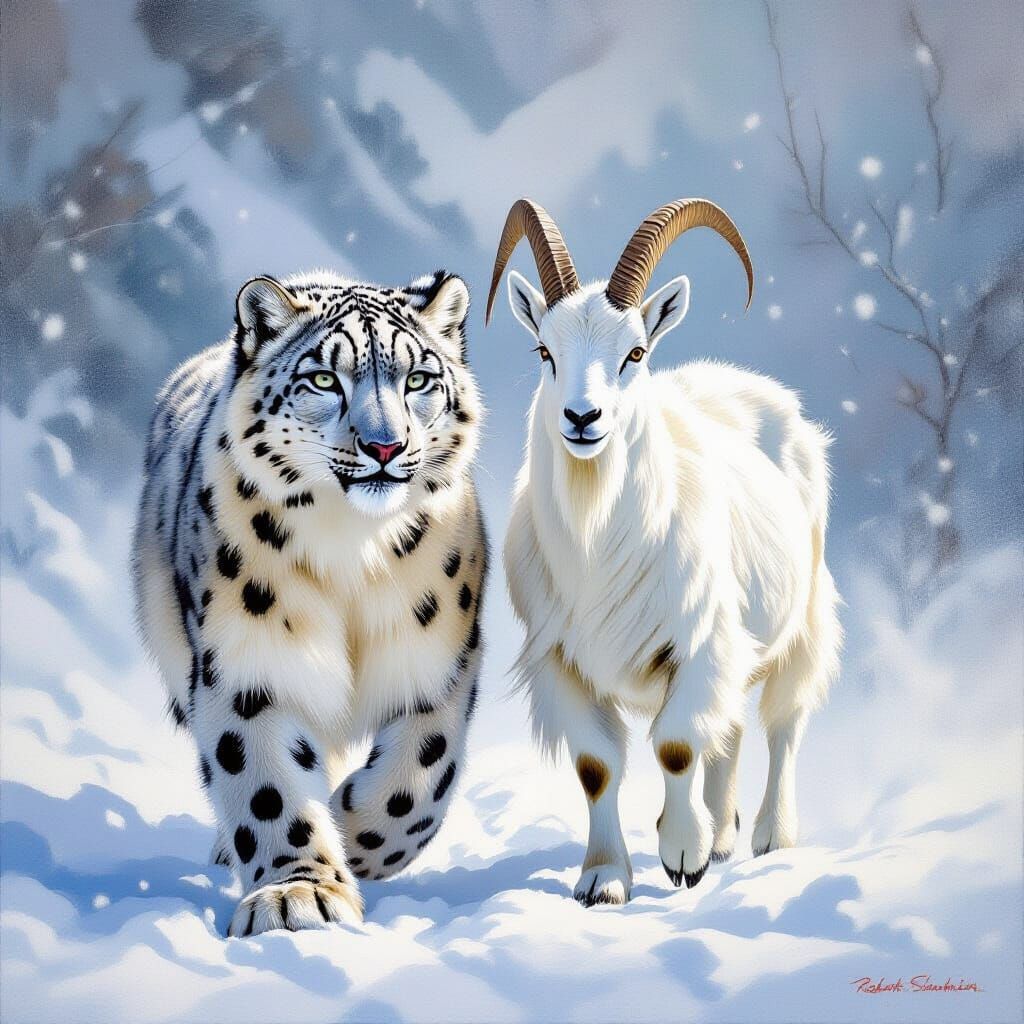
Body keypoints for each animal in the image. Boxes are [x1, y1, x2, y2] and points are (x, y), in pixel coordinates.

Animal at [487, 198, 842, 905]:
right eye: (545, 350)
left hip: (802, 620)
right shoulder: (563, 664)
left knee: (783, 721)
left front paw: (683, 856)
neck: (598, 547)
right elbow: (597, 767)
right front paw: (603, 881)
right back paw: (726, 836)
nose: (582, 419)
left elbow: (676, 746)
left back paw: (769, 839)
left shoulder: (700, 642)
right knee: (730, 728)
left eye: (635, 352)